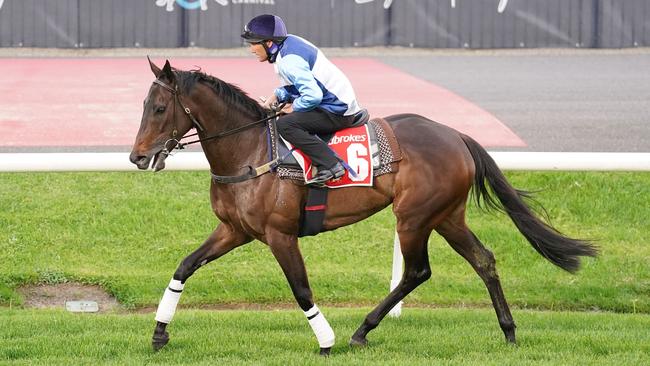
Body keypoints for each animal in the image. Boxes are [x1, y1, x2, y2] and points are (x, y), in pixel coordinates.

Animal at [129, 59, 596, 354]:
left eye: (159, 107)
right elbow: (185, 267)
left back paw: (360, 330)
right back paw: (509, 331)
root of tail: (456, 135)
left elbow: (301, 289)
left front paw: (326, 342)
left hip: (413, 217)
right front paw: (159, 334)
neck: (249, 151)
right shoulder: (235, 230)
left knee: (417, 271)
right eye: (143, 106)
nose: (137, 157)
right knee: (483, 259)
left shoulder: (280, 235)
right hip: (446, 216)